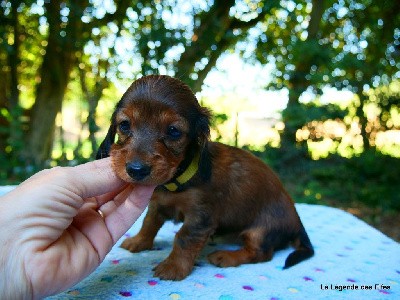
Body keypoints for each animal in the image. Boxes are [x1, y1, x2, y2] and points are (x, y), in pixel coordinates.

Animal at [96, 74, 312, 280]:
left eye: (173, 131)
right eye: (124, 125)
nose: (136, 170)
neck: (176, 181)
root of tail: (298, 223)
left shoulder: (201, 216)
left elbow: (184, 237)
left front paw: (173, 268)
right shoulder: (158, 202)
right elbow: (149, 222)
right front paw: (139, 241)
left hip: (261, 230)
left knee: (260, 253)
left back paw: (225, 256)